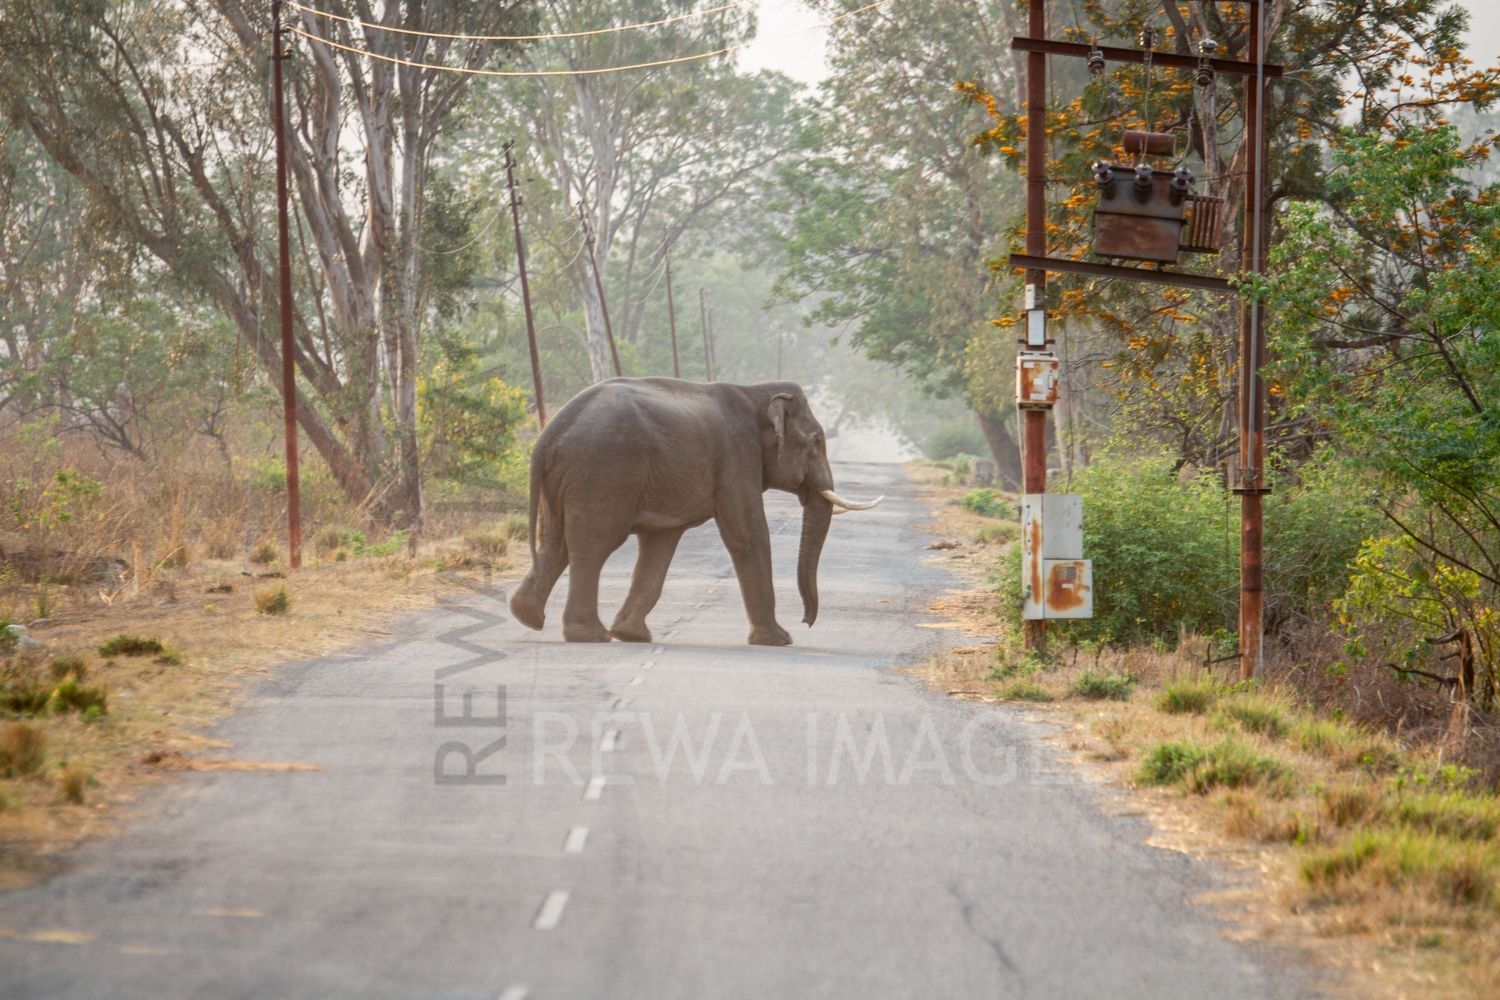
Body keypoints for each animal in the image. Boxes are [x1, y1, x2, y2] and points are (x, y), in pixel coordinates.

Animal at [508, 377, 882, 645]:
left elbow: (660, 544)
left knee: (555, 542)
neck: (756, 392)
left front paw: (632, 635)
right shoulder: (736, 457)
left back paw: (528, 617)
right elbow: (748, 535)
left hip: (569, 477)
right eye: (816, 441)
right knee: (593, 545)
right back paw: (589, 636)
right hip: (604, 471)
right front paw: (779, 640)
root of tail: (549, 434)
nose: (806, 622)